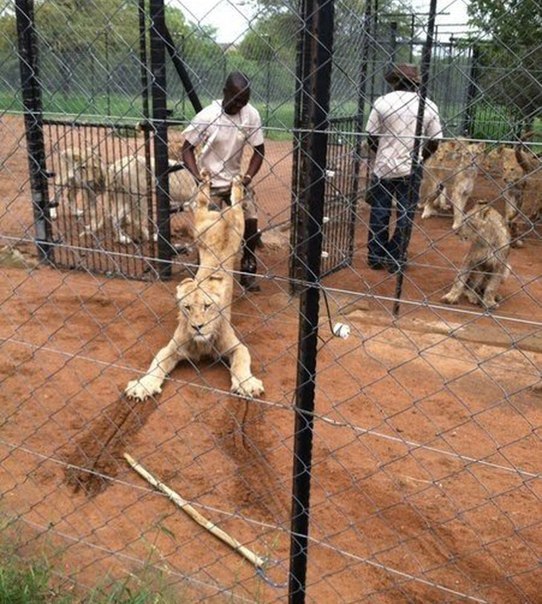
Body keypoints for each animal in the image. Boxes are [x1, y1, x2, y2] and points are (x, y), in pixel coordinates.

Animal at [125, 274, 266, 402]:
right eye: (187, 307)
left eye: (207, 306)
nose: (197, 326)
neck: (203, 343)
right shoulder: (171, 349)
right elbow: (157, 365)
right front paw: (144, 385)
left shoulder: (237, 347)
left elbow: (240, 363)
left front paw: (248, 384)